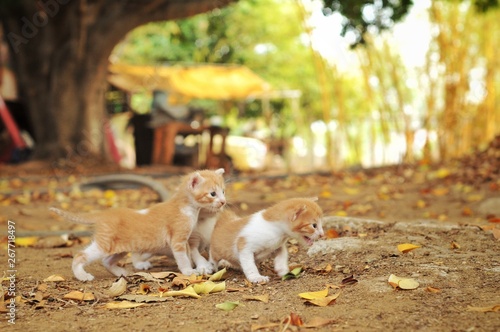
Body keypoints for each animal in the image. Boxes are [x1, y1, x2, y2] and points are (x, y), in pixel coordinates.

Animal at [49, 169, 226, 280]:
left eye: (223, 191)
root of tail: (105, 213)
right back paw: (82, 276)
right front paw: (189, 271)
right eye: (212, 194)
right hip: (104, 244)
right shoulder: (178, 240)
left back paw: (121, 272)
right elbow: (183, 258)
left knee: (107, 260)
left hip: (120, 248)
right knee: (81, 255)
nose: (223, 202)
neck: (185, 207)